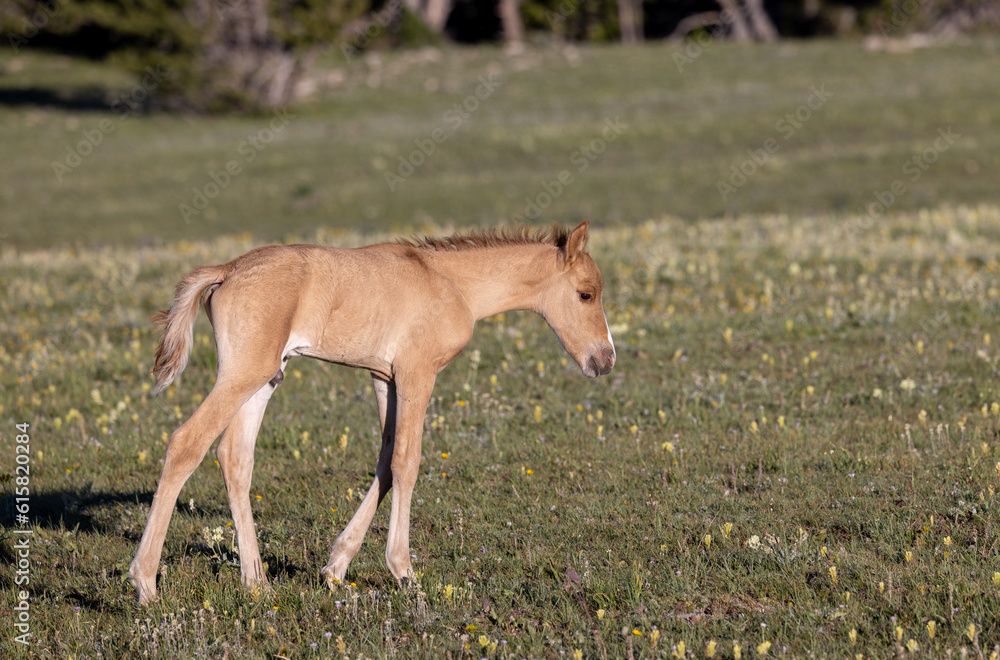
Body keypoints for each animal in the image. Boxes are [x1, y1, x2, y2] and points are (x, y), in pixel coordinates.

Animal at [131, 220, 616, 604]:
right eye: (586, 294)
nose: (605, 360)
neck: (450, 283)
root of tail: (226, 271)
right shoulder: (418, 373)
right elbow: (406, 461)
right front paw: (404, 572)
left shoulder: (385, 379)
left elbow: (384, 462)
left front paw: (335, 567)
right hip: (244, 373)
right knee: (186, 443)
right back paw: (146, 584)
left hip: (266, 378)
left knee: (235, 457)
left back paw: (257, 583)